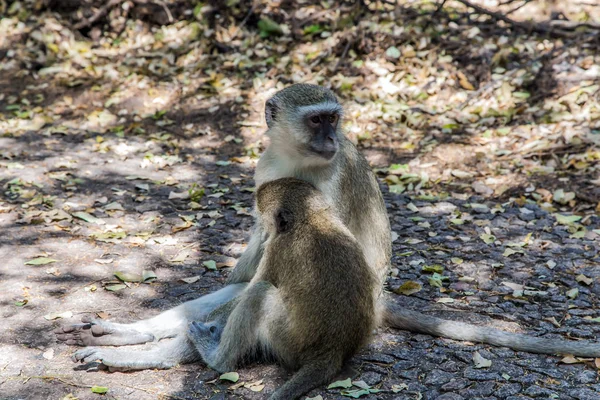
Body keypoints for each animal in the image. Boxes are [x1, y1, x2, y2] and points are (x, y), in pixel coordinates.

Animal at [59, 83, 600, 372]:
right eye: (317, 120)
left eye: (333, 119)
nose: (331, 138)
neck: (296, 159)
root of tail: (378, 304)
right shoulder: (265, 173)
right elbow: (253, 249)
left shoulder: (329, 182)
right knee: (228, 294)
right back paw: (126, 335)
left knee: (250, 299)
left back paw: (149, 356)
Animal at [189, 178, 376, 400]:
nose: (262, 231)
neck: (311, 218)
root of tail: (333, 350)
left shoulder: (276, 248)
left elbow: (251, 287)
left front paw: (213, 318)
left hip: (288, 340)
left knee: (258, 293)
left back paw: (216, 359)